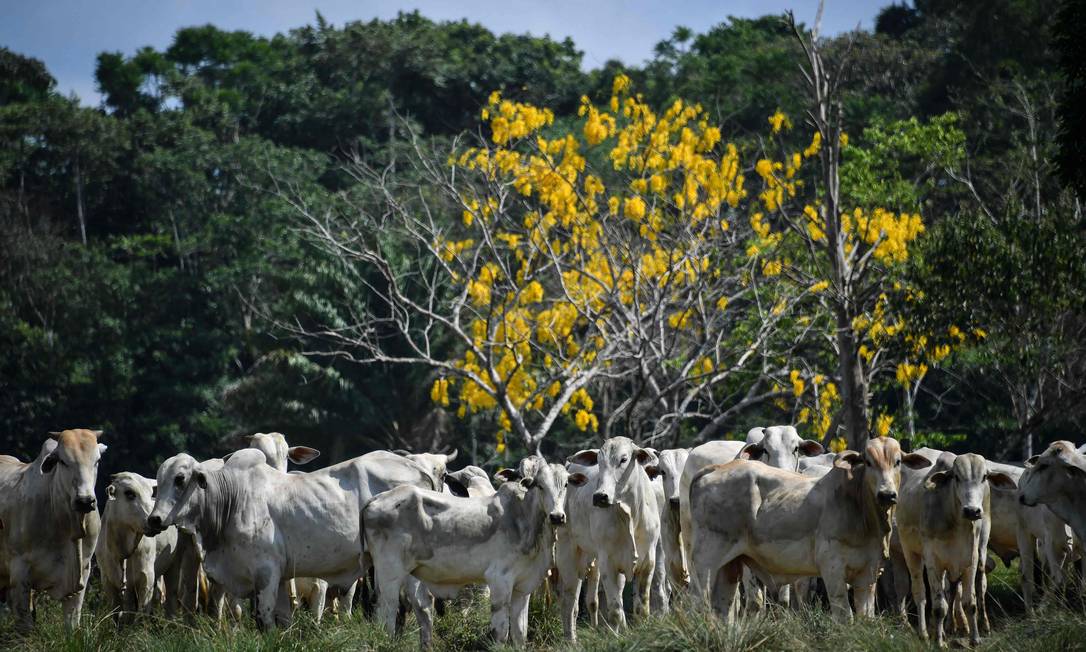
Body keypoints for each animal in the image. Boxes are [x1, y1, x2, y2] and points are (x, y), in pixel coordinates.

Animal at [0, 430, 106, 630]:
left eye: (97, 460)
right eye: (63, 461)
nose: (85, 501)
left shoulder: (82, 573)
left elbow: (71, 624)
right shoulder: (19, 574)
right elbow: (25, 626)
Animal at [96, 471, 181, 617]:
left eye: (150, 493)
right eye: (129, 493)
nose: (154, 520)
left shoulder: (146, 579)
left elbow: (141, 614)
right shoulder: (108, 581)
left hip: (175, 565)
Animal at [556, 439, 655, 643]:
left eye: (624, 459)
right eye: (599, 462)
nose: (600, 496)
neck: (630, 513)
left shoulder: (649, 561)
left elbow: (642, 607)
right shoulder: (607, 563)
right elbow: (615, 609)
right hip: (567, 551)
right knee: (569, 600)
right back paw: (571, 640)